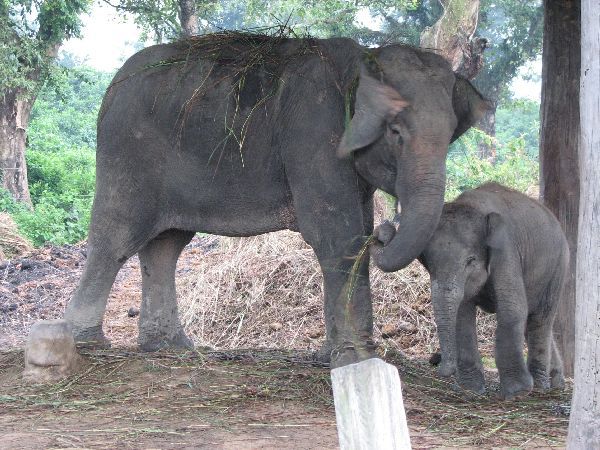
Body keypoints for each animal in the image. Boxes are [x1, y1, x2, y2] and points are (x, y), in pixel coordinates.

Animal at [63, 33, 490, 368]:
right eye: (396, 131)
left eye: (452, 135)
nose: (387, 231)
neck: (361, 64)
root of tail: (112, 86)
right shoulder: (315, 135)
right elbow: (339, 236)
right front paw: (355, 359)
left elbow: (354, 234)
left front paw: (339, 356)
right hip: (127, 154)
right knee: (116, 237)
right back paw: (87, 343)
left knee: (166, 245)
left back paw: (171, 347)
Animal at [376, 181, 568, 400]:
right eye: (429, 264)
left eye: (470, 261)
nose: (381, 231)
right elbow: (462, 315)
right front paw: (471, 389)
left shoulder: (507, 251)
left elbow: (512, 309)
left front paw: (516, 392)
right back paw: (556, 382)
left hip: (559, 266)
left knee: (540, 318)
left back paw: (539, 386)